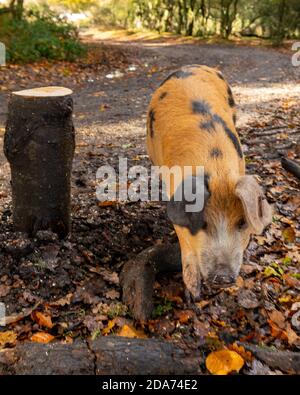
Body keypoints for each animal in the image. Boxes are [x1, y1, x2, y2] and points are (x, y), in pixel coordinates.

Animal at [146, 65, 274, 300]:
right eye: (202, 223)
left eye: (242, 223)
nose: (222, 277)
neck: (216, 167)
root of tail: (191, 66)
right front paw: (193, 295)